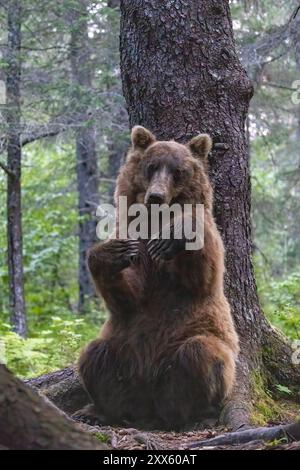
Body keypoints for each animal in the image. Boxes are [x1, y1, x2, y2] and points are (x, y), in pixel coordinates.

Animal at [79, 125, 239, 430]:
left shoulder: (204, 244)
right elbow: (127, 295)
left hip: (182, 359)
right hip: (125, 352)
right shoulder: (133, 240)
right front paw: (112, 252)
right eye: (151, 166)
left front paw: (172, 236)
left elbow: (202, 275)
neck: (155, 219)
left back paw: (198, 415)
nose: (156, 195)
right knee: (95, 355)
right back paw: (102, 412)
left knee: (201, 355)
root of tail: (150, 409)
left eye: (178, 171)